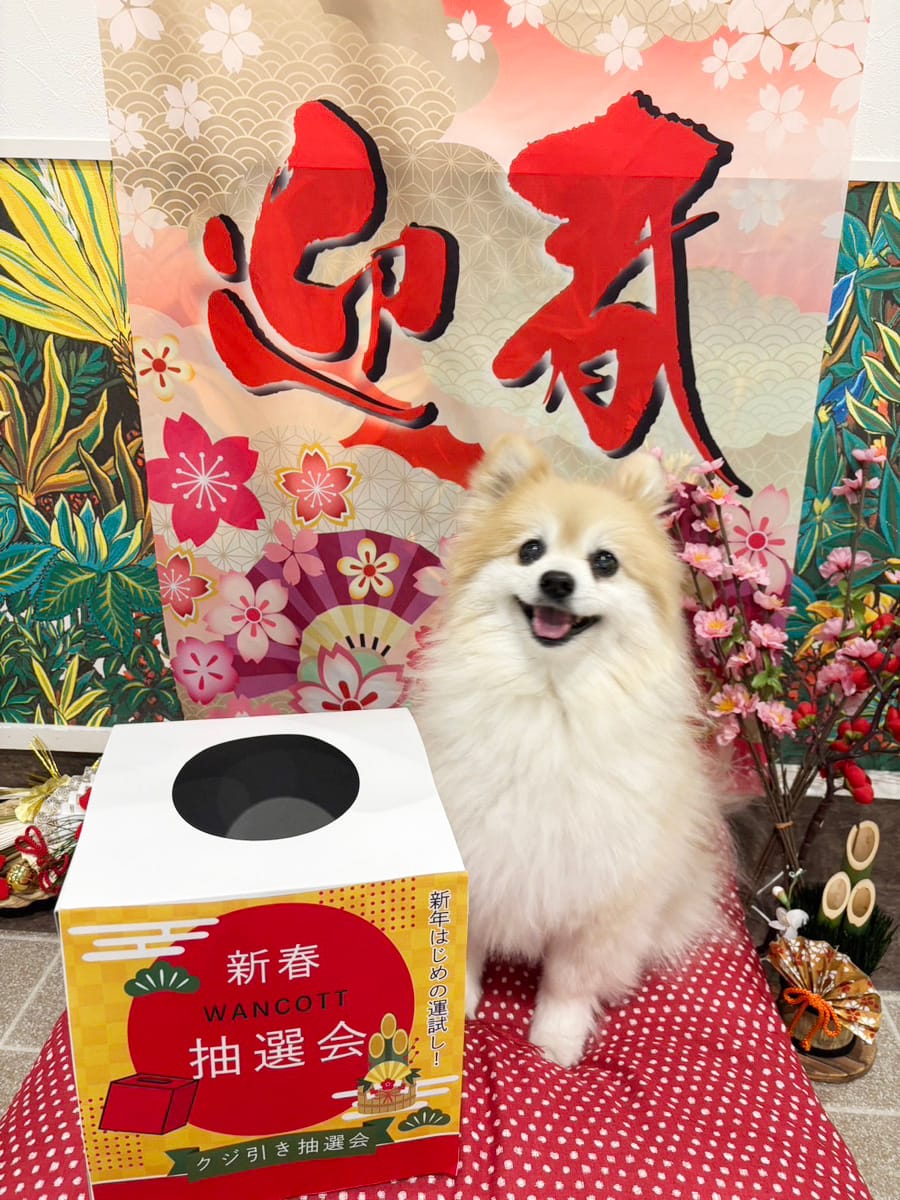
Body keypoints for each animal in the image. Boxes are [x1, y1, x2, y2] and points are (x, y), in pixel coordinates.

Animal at [413, 436, 728, 1067]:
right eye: (530, 550)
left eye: (604, 562)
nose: (557, 580)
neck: (549, 701)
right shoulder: (483, 854)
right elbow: (466, 945)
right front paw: (459, 1004)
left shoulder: (603, 897)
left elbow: (570, 981)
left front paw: (555, 1042)